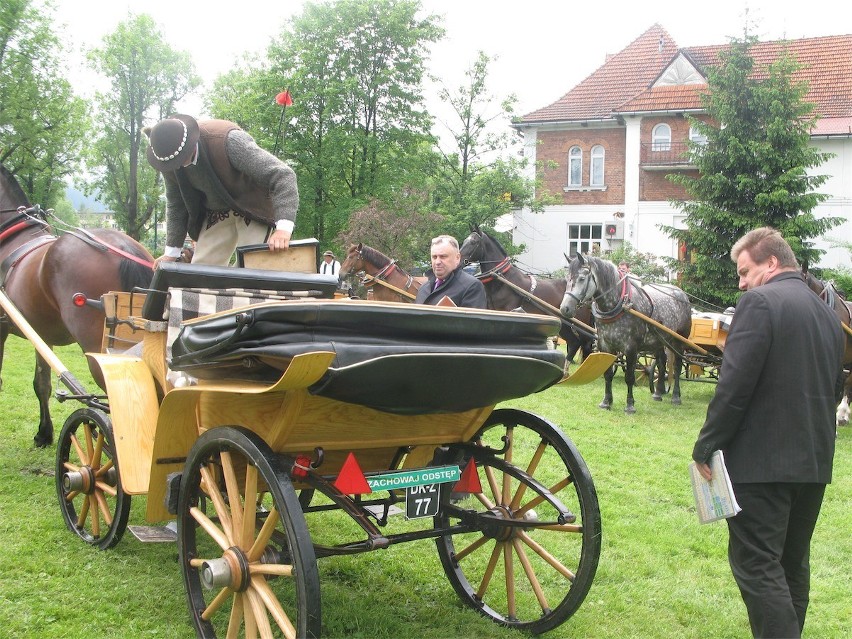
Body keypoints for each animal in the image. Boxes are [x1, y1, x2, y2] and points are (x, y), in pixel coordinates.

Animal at [460, 226, 592, 364]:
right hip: (564, 325)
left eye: (473, 242)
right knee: (574, 343)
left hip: (580, 325)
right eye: (464, 241)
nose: (459, 259)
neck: (503, 280)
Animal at [560, 255, 692, 416]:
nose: (565, 308)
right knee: (662, 363)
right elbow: (607, 374)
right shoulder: (605, 345)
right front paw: (606, 402)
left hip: (679, 340)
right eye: (567, 278)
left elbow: (629, 377)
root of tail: (681, 293)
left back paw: (676, 397)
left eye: (582, 278)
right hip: (659, 341)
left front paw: (629, 405)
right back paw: (658, 393)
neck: (621, 303)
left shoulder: (631, 348)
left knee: (677, 366)